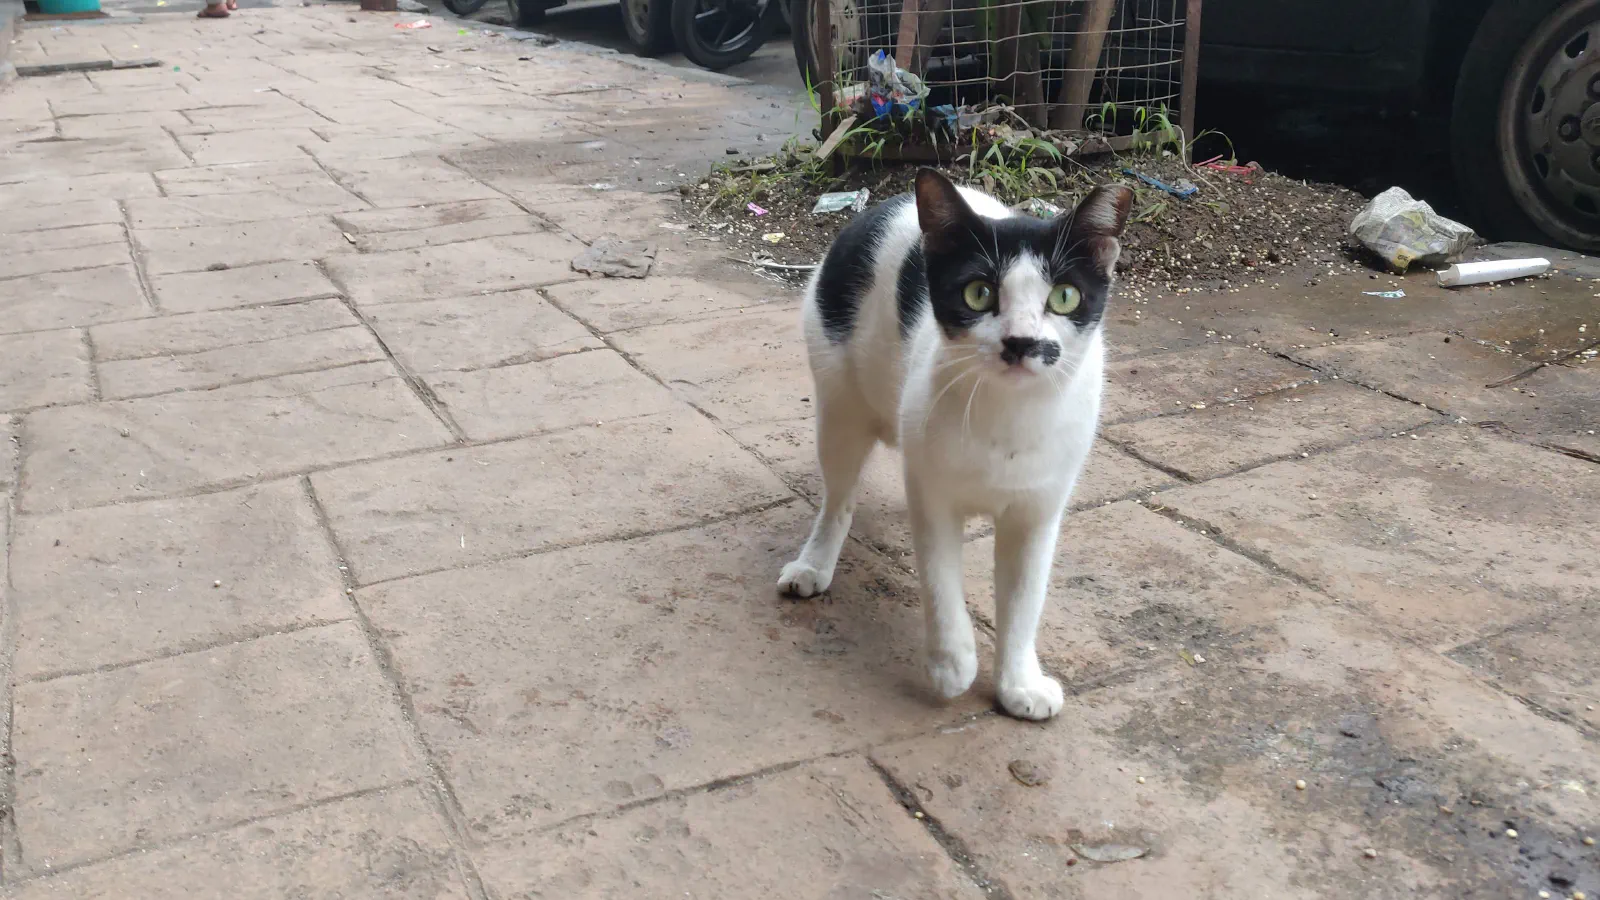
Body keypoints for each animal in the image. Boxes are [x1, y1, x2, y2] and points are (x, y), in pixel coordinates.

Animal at [777, 166, 1132, 714]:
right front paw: (952, 665)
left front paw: (1018, 684)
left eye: (1064, 296)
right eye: (979, 294)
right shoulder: (934, 496)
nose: (1021, 342)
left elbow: (1025, 598)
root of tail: (887, 201)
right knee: (839, 496)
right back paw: (814, 563)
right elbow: (940, 581)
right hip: (838, 405)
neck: (1007, 417)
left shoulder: (1038, 510)